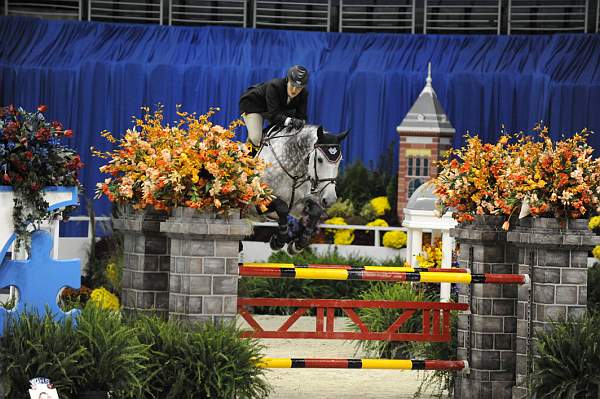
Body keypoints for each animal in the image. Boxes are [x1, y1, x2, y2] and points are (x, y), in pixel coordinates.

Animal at [255, 125, 350, 255]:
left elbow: (315, 211)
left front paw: (298, 244)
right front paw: (278, 241)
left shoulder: (298, 206)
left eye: (340, 161)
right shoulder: (257, 201)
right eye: (319, 159)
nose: (330, 200)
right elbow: (282, 207)